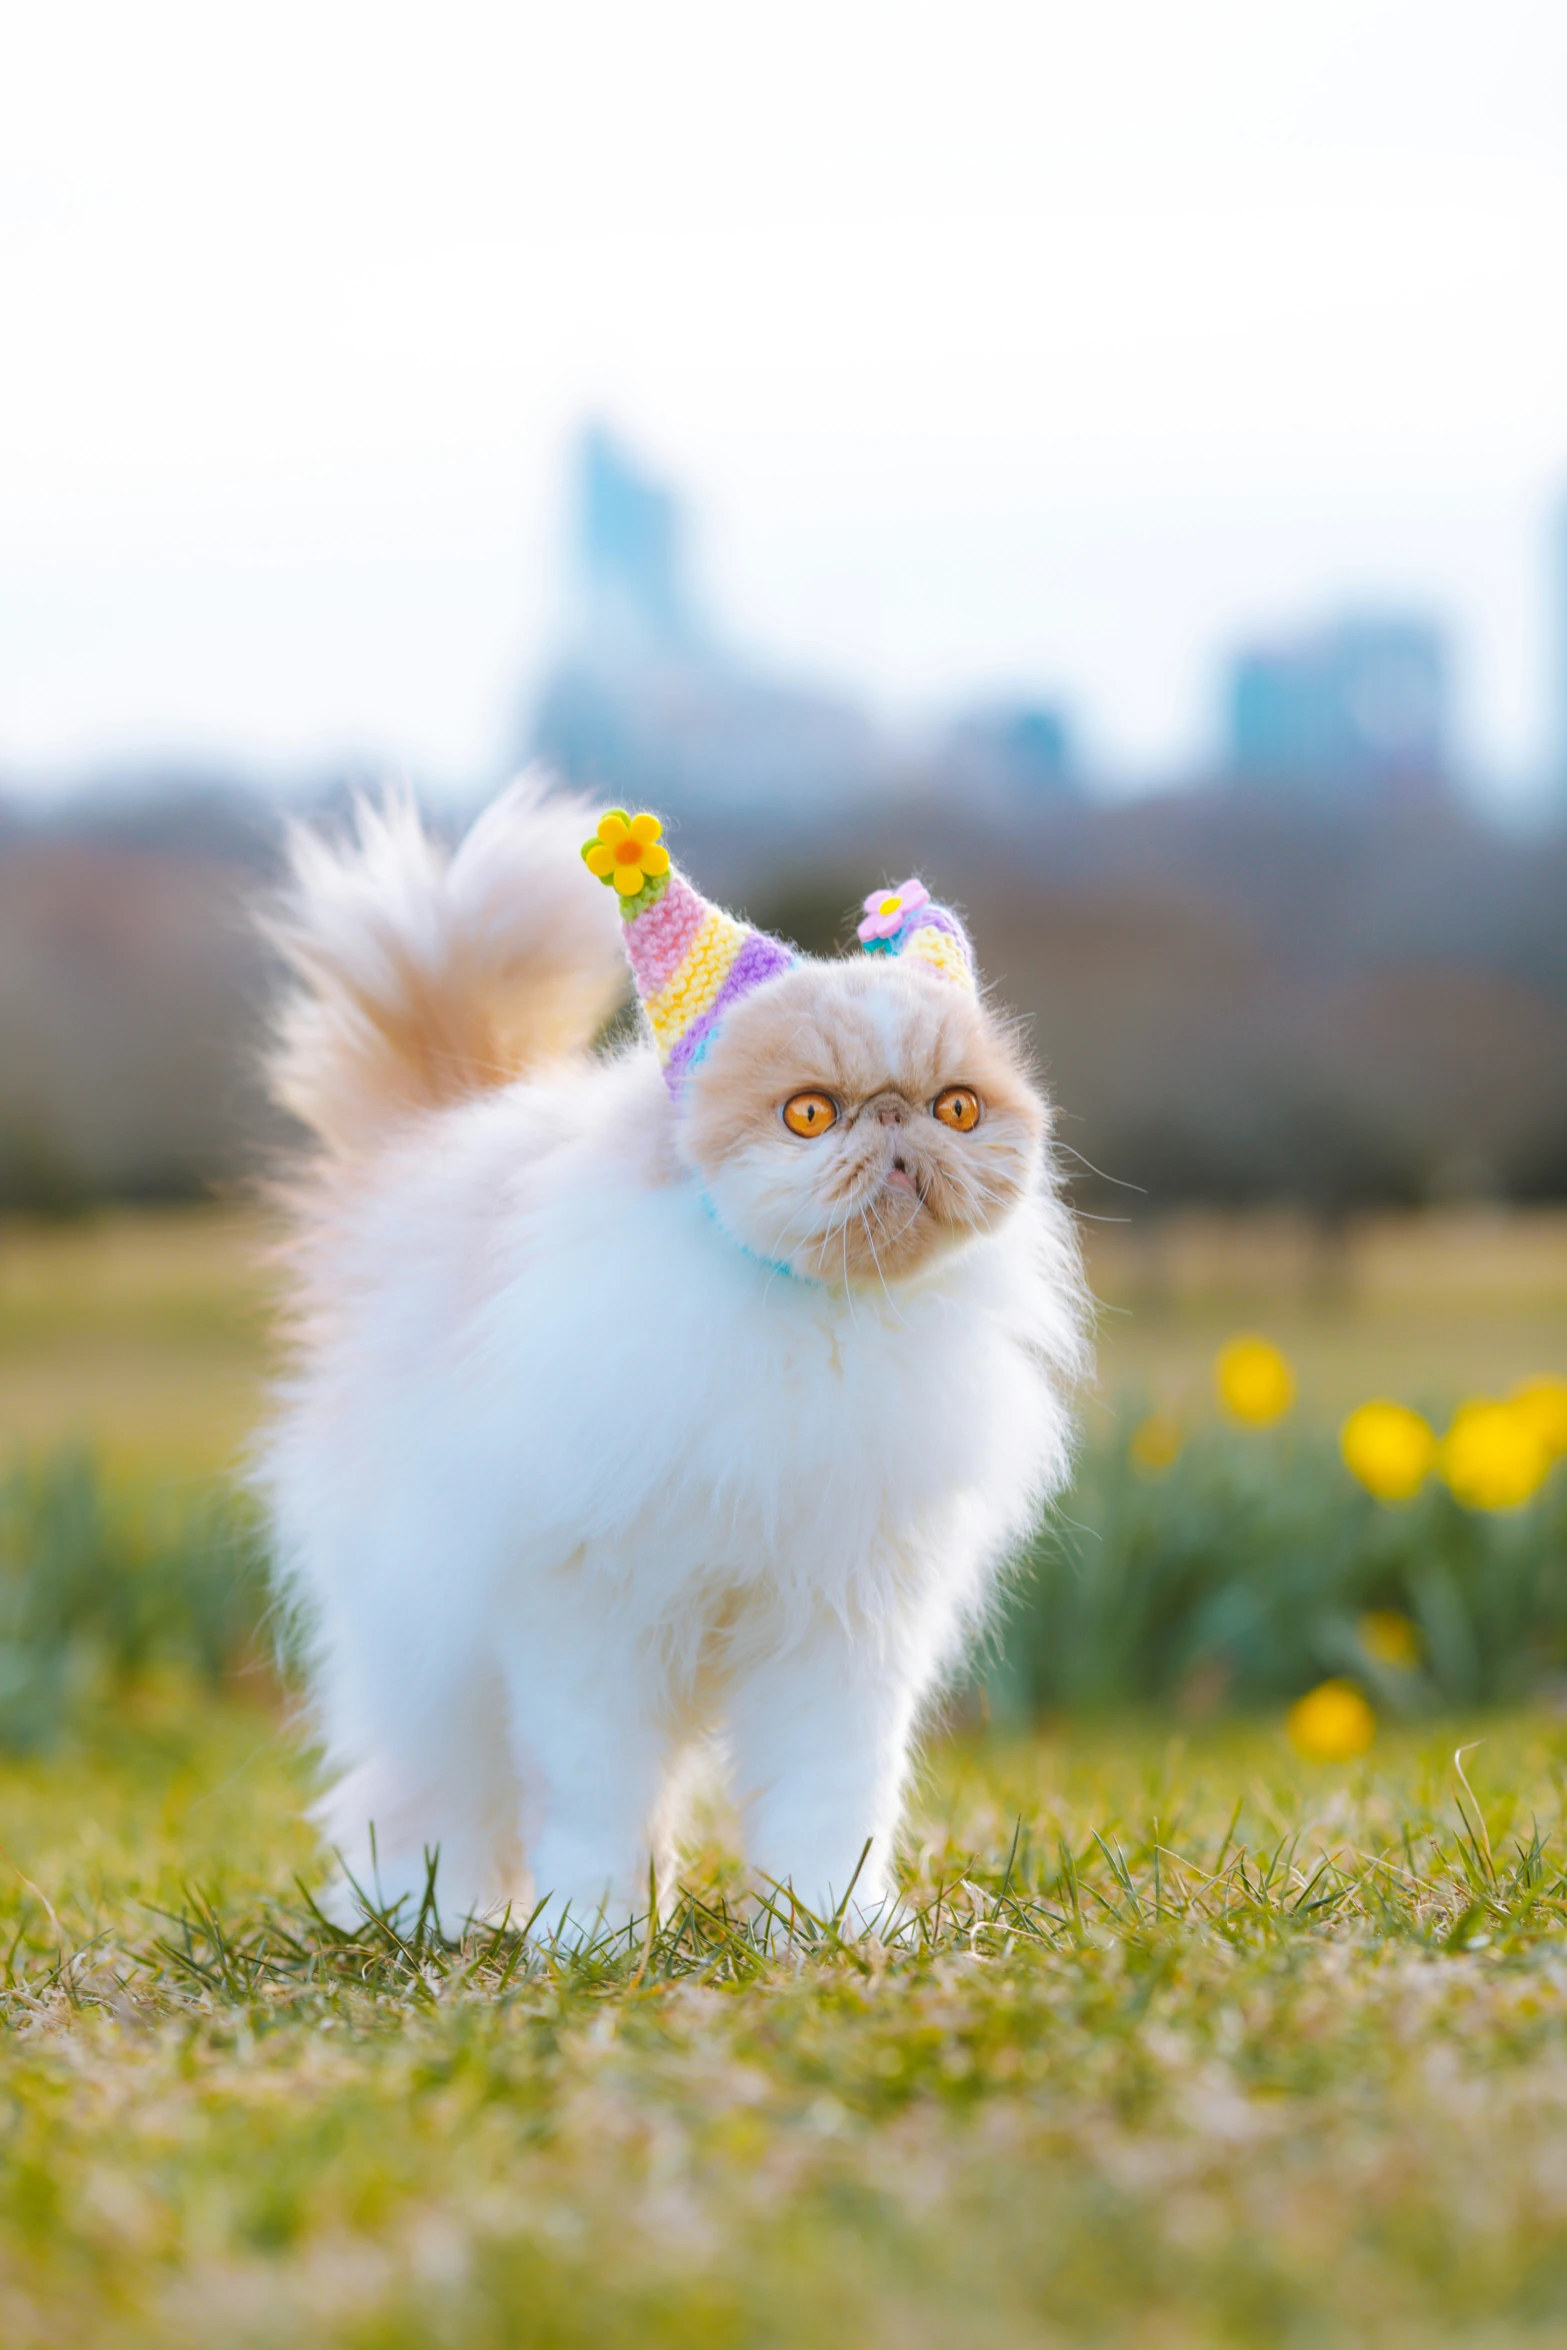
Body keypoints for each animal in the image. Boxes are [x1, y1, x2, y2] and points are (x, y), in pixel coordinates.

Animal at [257, 780, 1090, 1936]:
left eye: (956, 1108)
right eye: (808, 1113)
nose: (893, 1119)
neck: (810, 1328)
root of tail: (430, 1145)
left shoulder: (841, 1627)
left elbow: (829, 1801)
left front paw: (830, 1926)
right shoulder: (587, 1619)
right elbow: (592, 1803)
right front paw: (589, 1939)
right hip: (426, 1649)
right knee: (426, 1796)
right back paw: (430, 1917)